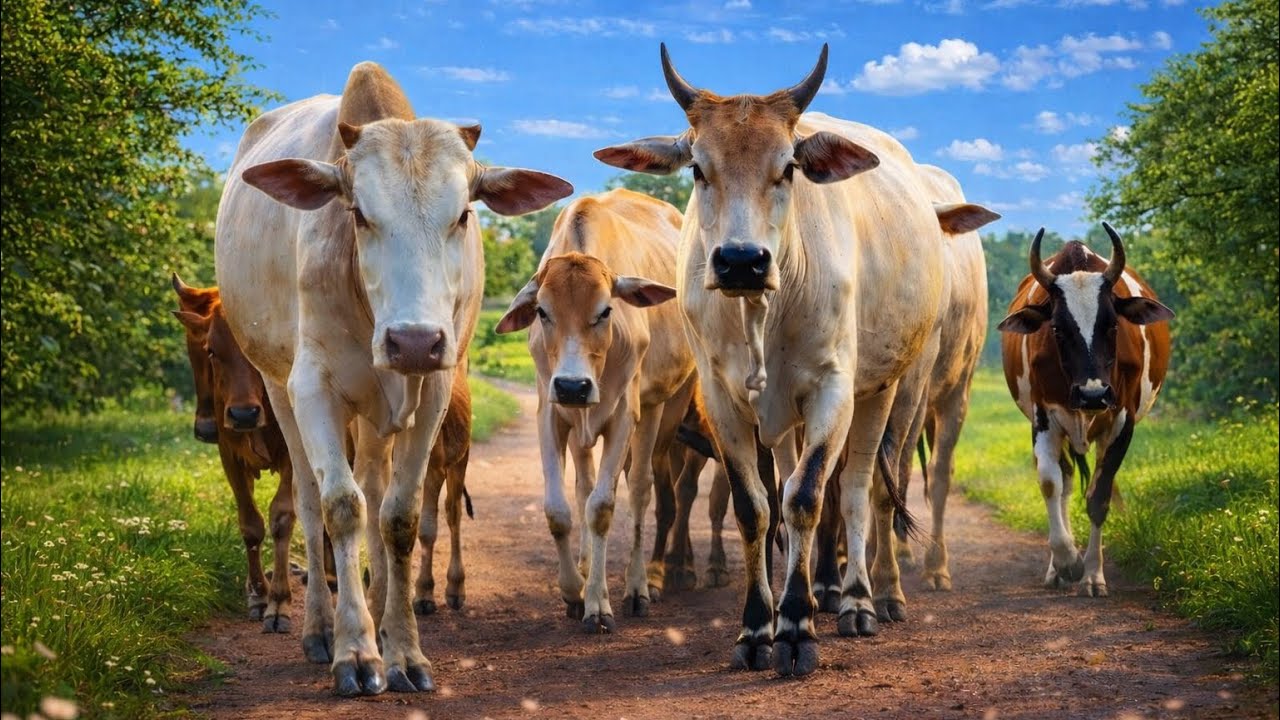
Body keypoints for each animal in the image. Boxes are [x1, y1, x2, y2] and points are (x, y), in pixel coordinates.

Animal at [215, 61, 572, 695]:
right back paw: (318, 626)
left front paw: (402, 648)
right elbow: (340, 507)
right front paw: (355, 653)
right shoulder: (312, 387)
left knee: (377, 489)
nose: (413, 340)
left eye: (463, 214)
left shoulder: (430, 392)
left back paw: (381, 606)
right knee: (310, 501)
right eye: (359, 213)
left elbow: (399, 517)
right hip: (277, 387)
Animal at [495, 188, 696, 632]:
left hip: (663, 409)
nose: (573, 385)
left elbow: (603, 508)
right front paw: (574, 590)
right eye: (542, 311)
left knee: (642, 490)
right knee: (585, 486)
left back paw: (639, 586)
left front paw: (598, 604)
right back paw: (588, 568)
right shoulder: (550, 414)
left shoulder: (623, 416)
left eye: (605, 310)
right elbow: (559, 509)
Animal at [595, 44, 958, 676]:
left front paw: (796, 630)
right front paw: (758, 628)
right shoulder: (722, 397)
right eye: (698, 169)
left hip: (892, 389)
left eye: (788, 167)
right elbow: (757, 507)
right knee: (789, 487)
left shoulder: (833, 388)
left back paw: (864, 598)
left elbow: (809, 497)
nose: (741, 260)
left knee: (863, 488)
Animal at [998, 223, 1172, 597]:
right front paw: (1067, 561)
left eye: (1112, 325)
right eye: (1057, 328)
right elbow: (1050, 484)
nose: (1093, 394)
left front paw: (1093, 574)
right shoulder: (1044, 418)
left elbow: (1098, 497)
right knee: (1063, 480)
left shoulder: (1122, 421)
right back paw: (1056, 569)